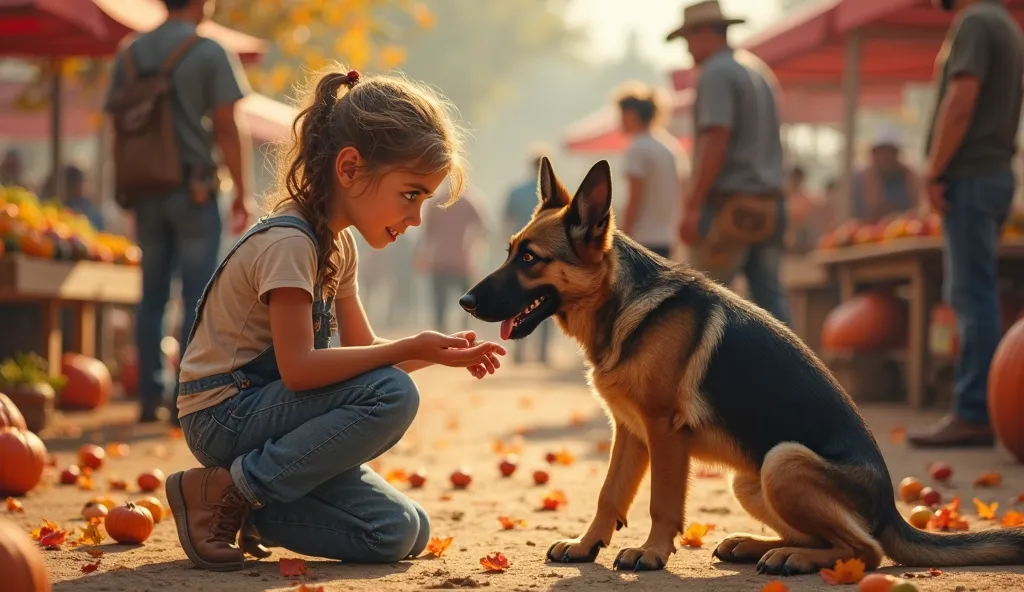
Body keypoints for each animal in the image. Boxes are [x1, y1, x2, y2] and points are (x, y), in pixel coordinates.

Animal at [458, 158, 1024, 573]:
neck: (622, 304)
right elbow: (609, 494)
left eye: (529, 259)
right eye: (509, 251)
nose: (464, 301)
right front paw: (584, 544)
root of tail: (888, 508)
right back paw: (759, 546)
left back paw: (792, 558)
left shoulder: (664, 433)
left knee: (865, 550)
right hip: (750, 480)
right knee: (825, 538)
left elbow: (662, 501)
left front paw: (652, 553)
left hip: (782, 461)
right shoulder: (630, 432)